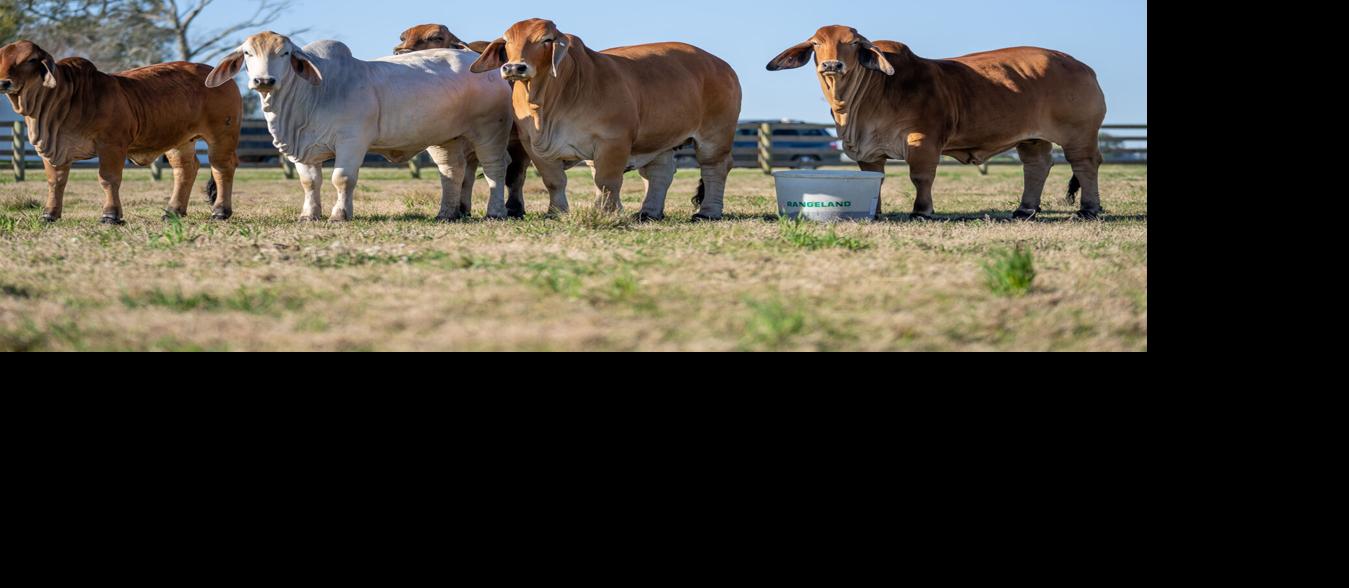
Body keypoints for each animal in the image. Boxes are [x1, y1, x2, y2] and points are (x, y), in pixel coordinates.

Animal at [0, 40, 241, 224]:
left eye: (30, 60)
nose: (4, 83)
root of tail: (217, 73)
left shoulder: (111, 145)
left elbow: (108, 179)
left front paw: (110, 216)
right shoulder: (52, 150)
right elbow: (56, 182)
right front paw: (49, 214)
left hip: (222, 136)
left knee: (222, 168)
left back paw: (220, 212)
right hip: (179, 141)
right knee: (185, 170)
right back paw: (173, 211)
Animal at [207, 32, 514, 222]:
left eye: (284, 53)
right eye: (248, 53)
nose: (264, 81)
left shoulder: (351, 142)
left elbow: (342, 178)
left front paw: (339, 214)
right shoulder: (302, 150)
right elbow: (310, 182)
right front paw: (309, 214)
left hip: (490, 131)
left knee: (495, 168)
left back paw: (495, 211)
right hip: (445, 138)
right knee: (452, 171)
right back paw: (446, 213)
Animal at [395, 23, 533, 219]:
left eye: (436, 37)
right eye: (403, 38)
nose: (400, 52)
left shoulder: (516, 141)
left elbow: (514, 175)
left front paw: (513, 208)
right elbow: (463, 175)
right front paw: (459, 208)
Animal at [470, 19, 743, 221]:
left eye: (546, 40)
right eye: (507, 42)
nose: (514, 68)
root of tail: (721, 64)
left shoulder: (612, 142)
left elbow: (607, 181)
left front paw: (607, 212)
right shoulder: (534, 147)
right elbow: (554, 181)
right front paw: (556, 213)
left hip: (715, 135)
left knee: (715, 168)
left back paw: (708, 212)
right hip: (660, 139)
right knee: (660, 173)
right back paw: (648, 212)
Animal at [768, 26, 1108, 220]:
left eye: (852, 43)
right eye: (815, 43)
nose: (831, 64)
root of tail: (1082, 66)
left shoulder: (923, 140)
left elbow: (921, 178)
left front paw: (922, 211)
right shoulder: (869, 151)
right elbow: (876, 179)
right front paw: (875, 212)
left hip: (1079, 134)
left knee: (1085, 164)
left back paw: (1088, 209)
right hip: (1032, 138)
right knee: (1036, 166)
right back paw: (1025, 209)